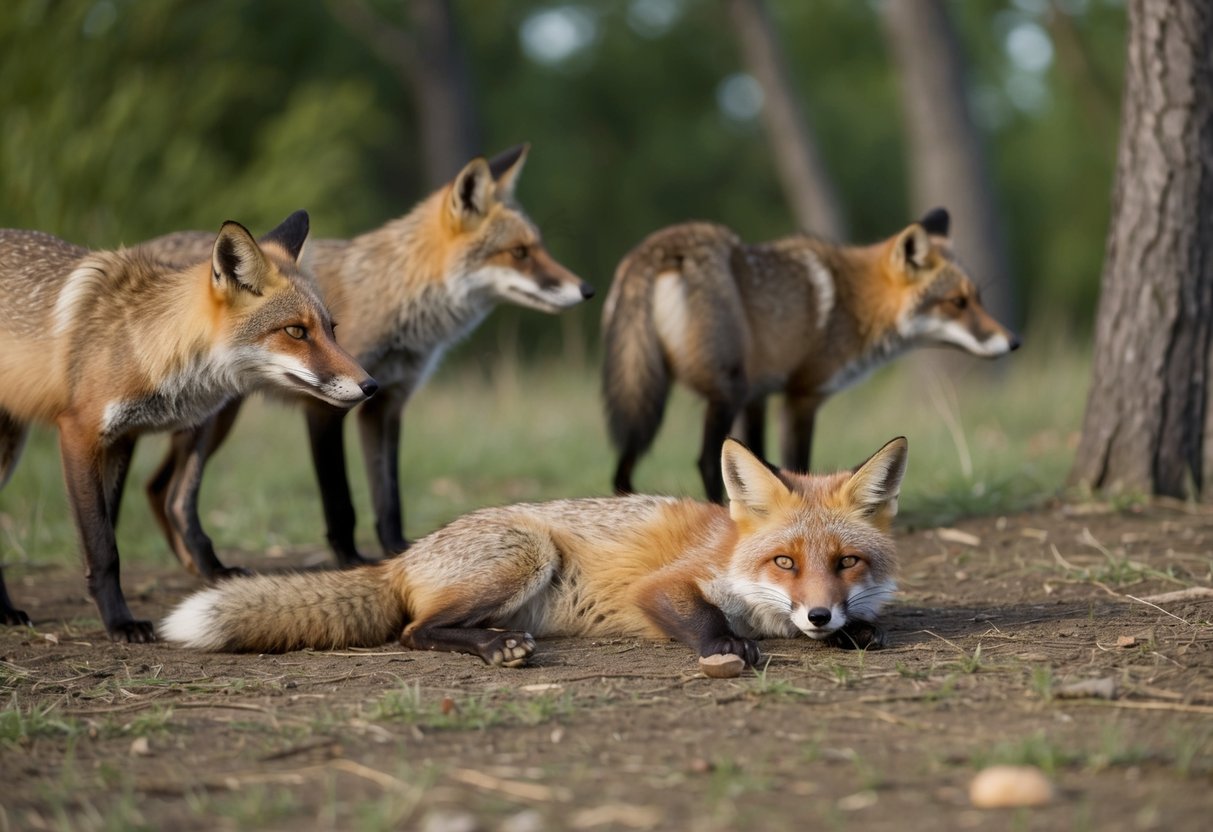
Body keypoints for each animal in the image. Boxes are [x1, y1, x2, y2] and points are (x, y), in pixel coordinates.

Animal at [0, 212, 377, 641]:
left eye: (332, 328)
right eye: (296, 331)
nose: (372, 386)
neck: (146, 347)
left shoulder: (122, 438)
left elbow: (112, 527)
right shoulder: (80, 434)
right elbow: (102, 544)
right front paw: (119, 621)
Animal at [138, 145, 593, 579]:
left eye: (537, 248)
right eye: (519, 253)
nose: (587, 290)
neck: (394, 297)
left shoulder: (386, 401)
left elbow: (388, 498)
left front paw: (399, 552)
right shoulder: (328, 402)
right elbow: (340, 501)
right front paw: (351, 561)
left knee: (156, 488)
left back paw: (195, 566)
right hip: (210, 418)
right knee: (176, 495)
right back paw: (208, 567)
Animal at [161, 437, 907, 666]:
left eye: (846, 563)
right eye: (784, 562)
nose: (818, 616)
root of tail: (404, 555)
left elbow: (866, 623)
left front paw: (855, 631)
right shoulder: (665, 584)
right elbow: (702, 616)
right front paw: (726, 644)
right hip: (526, 553)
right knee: (413, 630)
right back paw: (494, 648)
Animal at [603, 208, 1018, 502]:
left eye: (978, 299)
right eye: (957, 303)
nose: (1014, 341)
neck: (856, 303)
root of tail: (662, 245)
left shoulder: (758, 396)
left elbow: (756, 464)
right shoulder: (802, 396)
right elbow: (795, 468)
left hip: (656, 393)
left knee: (623, 467)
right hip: (725, 390)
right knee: (705, 461)